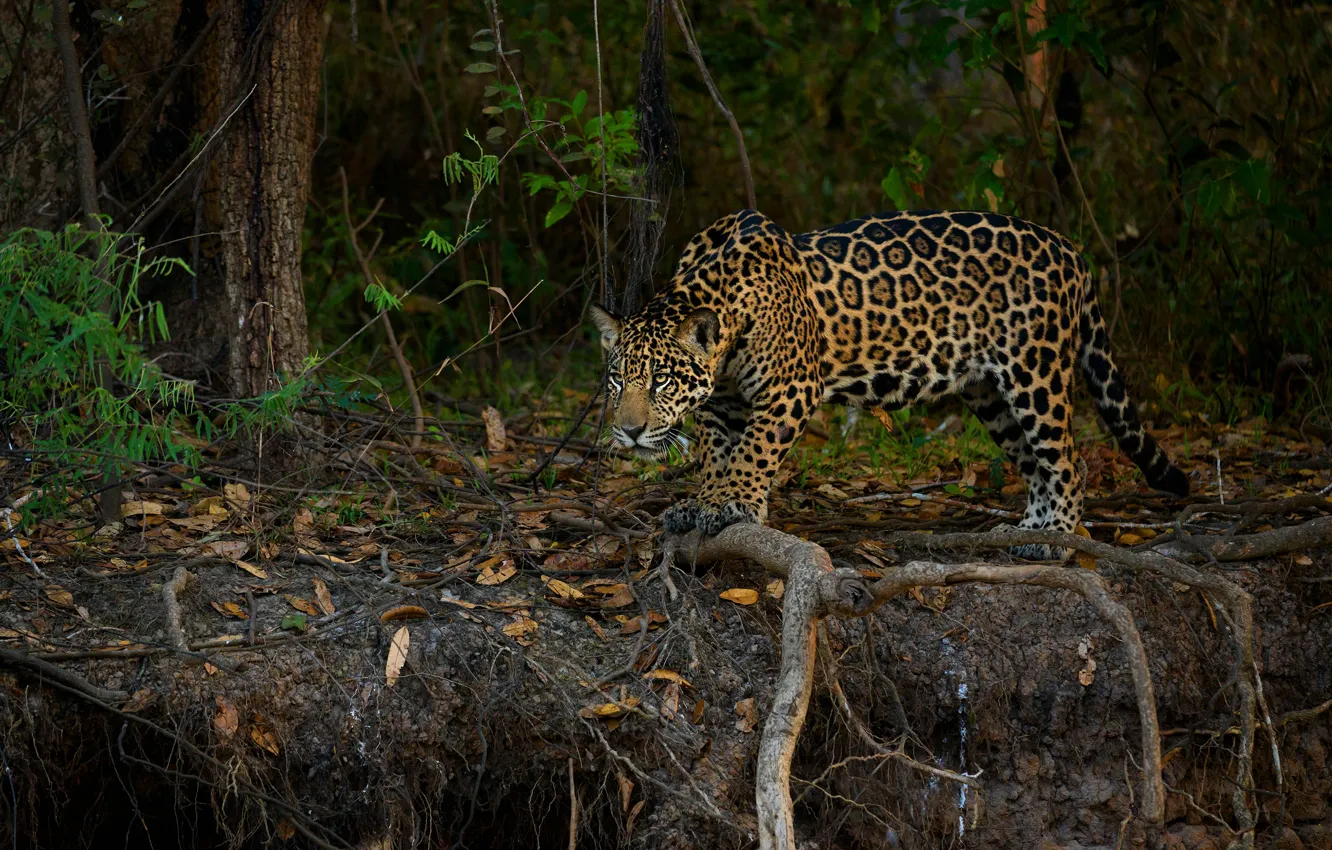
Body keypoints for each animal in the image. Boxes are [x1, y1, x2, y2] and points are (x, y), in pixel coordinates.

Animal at [589, 208, 1189, 559]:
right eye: (618, 380)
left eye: (662, 381)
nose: (629, 433)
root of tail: (1070, 250)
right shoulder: (721, 407)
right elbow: (718, 456)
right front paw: (705, 503)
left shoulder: (790, 389)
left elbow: (754, 451)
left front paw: (732, 505)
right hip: (990, 395)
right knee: (1035, 461)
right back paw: (1026, 531)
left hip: (1034, 371)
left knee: (1068, 458)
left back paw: (1057, 538)